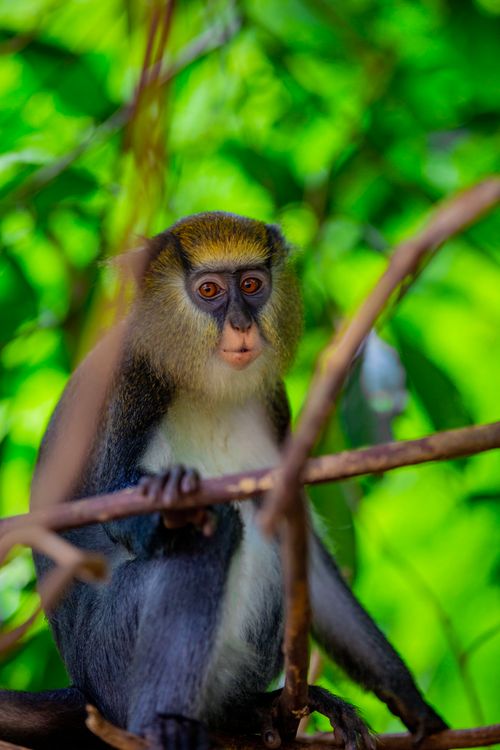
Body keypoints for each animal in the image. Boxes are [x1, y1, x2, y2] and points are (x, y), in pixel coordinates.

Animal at [1, 212, 447, 749]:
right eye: (210, 290)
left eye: (251, 285)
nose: (241, 324)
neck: (205, 383)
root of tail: (83, 691)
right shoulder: (126, 382)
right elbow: (119, 516)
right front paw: (166, 499)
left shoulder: (276, 406)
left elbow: (308, 558)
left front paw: (413, 703)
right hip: (112, 660)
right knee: (213, 528)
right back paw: (162, 725)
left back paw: (255, 710)